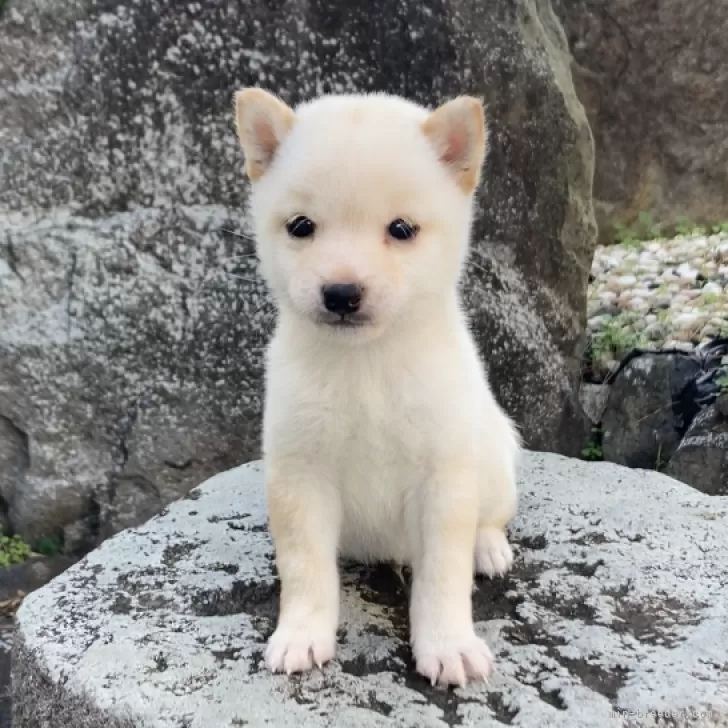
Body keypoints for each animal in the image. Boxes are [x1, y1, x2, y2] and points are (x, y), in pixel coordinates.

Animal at [233, 88, 516, 684]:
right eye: (301, 226)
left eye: (402, 229)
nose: (342, 293)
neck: (366, 366)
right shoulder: (301, 472)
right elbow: (305, 568)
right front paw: (301, 634)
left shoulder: (443, 477)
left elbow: (444, 576)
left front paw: (449, 644)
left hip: (496, 457)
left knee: (492, 517)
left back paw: (488, 548)